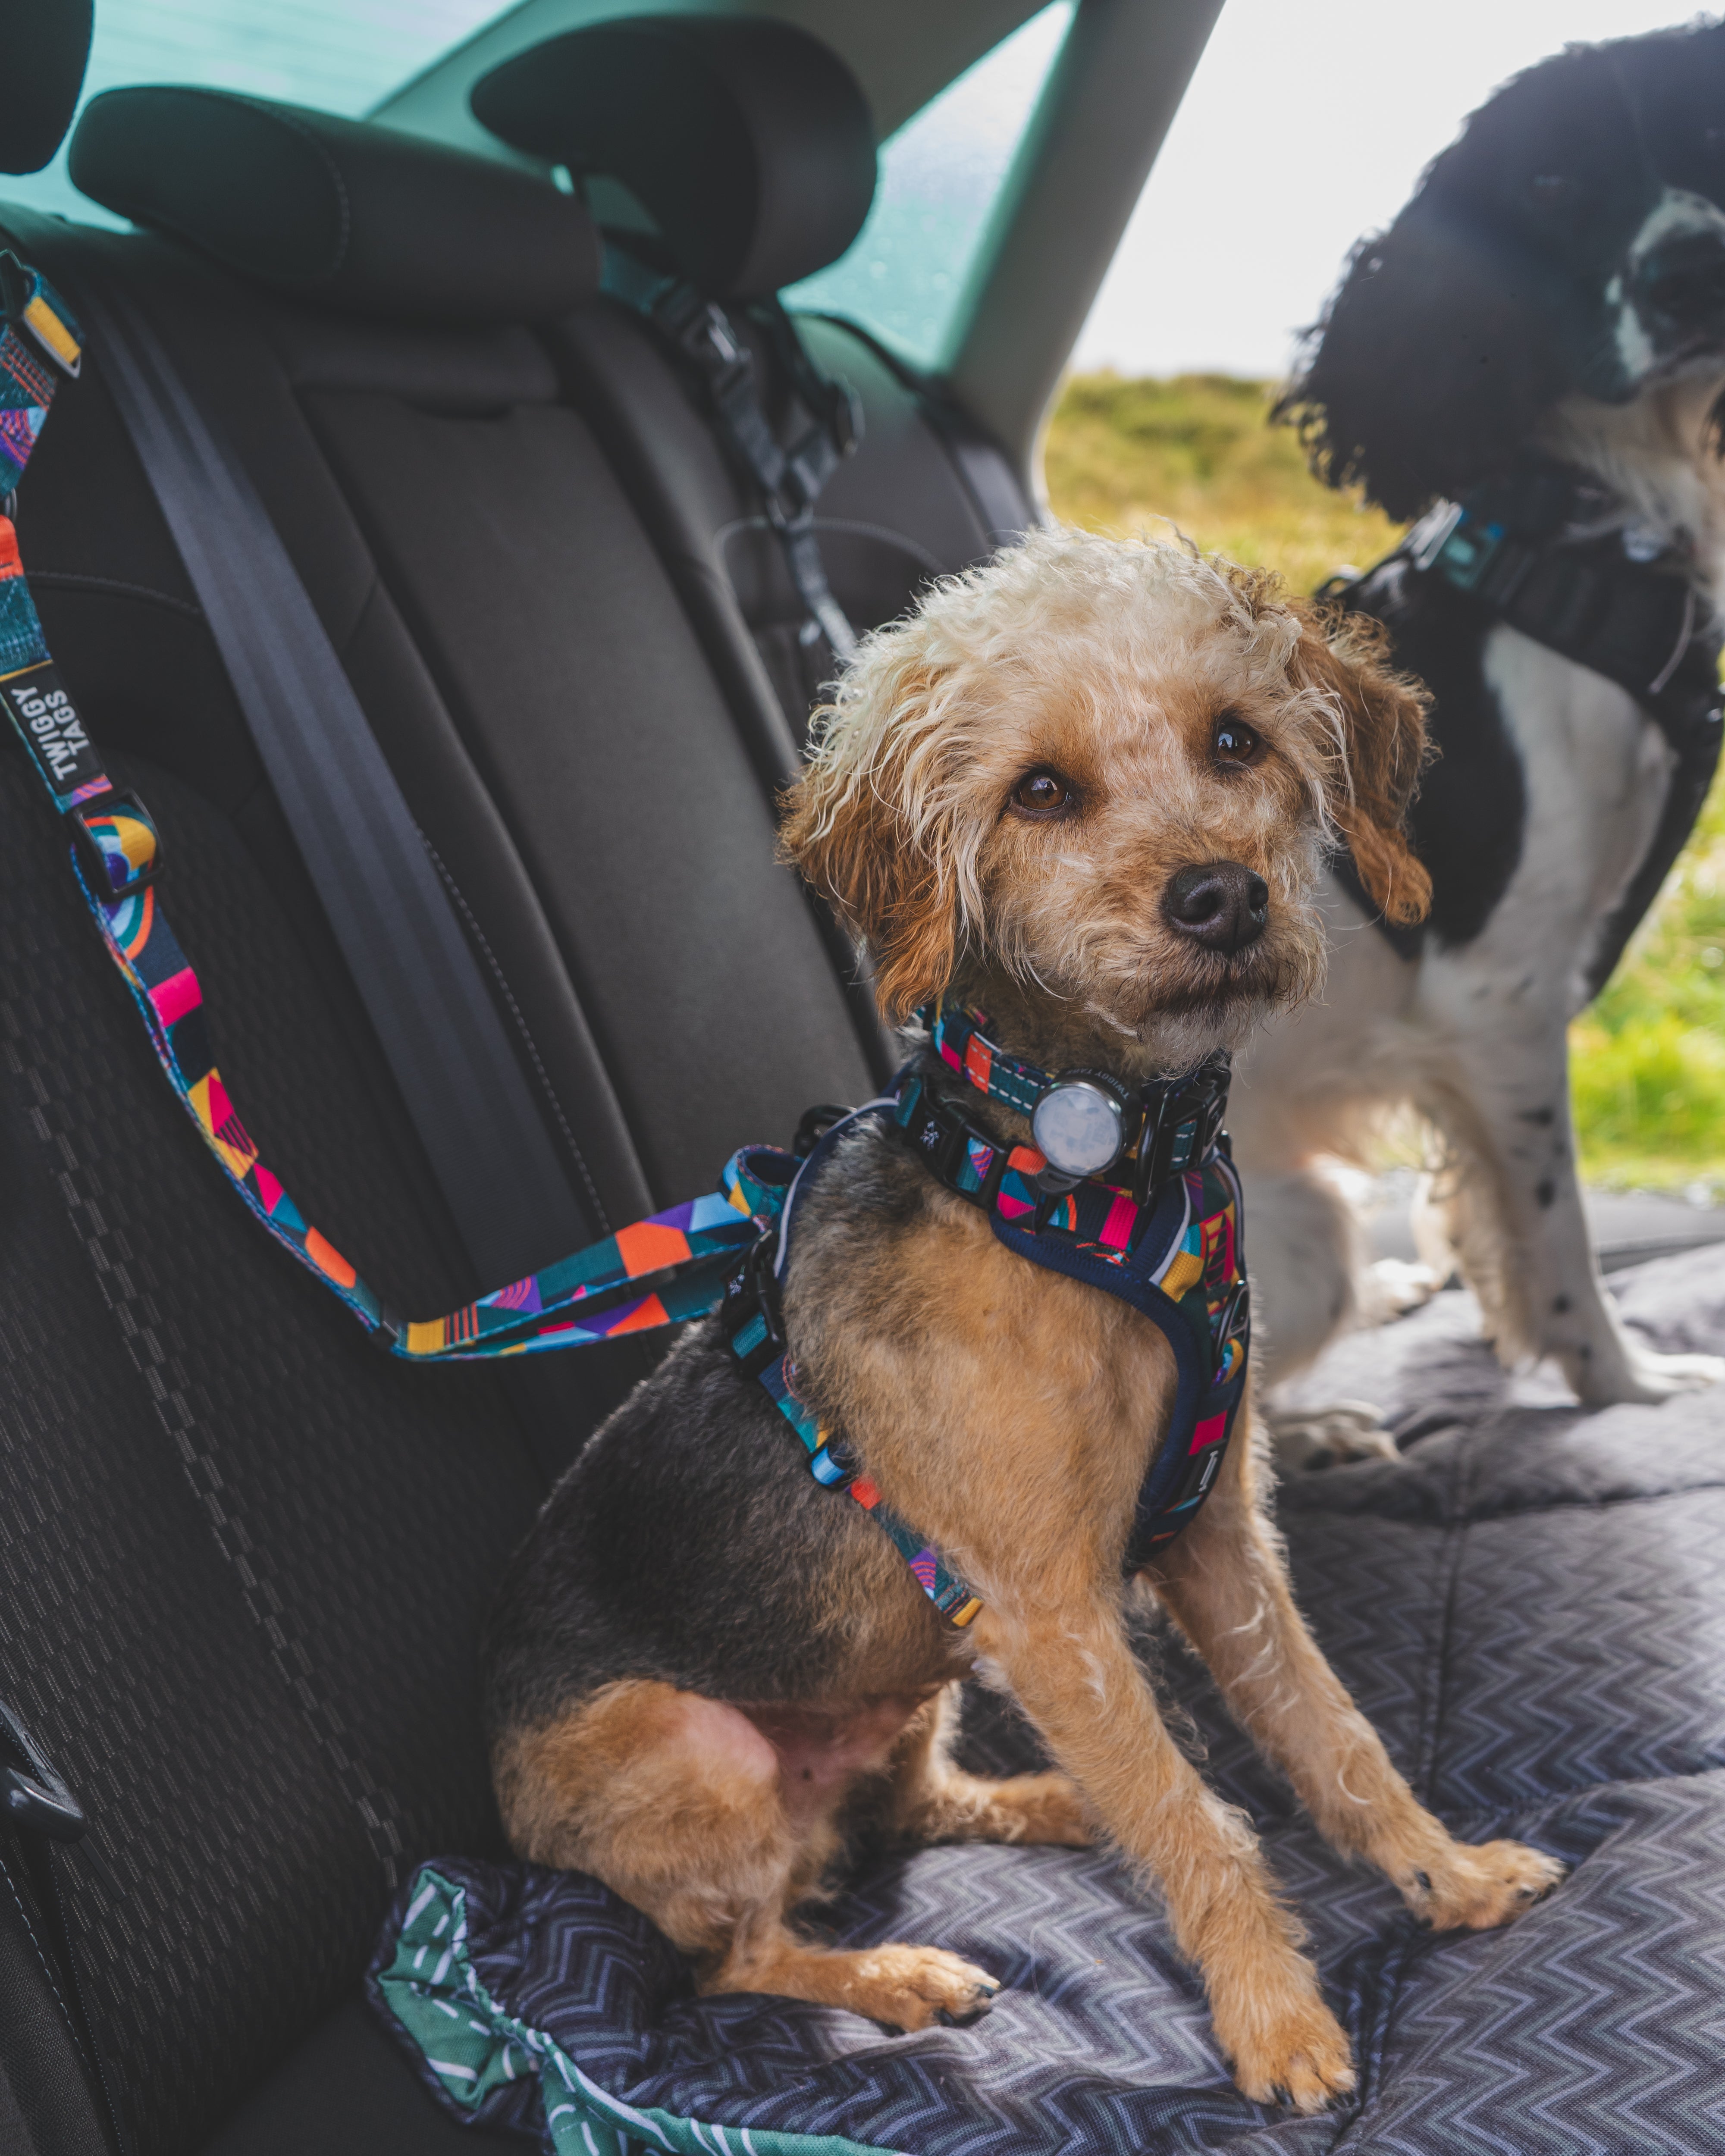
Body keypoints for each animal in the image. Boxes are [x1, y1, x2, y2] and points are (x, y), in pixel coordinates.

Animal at [481, 530, 1561, 2113]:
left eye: (1236, 741)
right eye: (1038, 792)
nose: (1221, 898)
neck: (1084, 1180)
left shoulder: (1216, 1543)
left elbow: (1327, 1732)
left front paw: (1446, 1875)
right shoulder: (1052, 1618)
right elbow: (1199, 1821)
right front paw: (1278, 2025)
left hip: (908, 1691)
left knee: (912, 1809)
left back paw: (1049, 1800)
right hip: (701, 1747)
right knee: (735, 1954)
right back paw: (894, 1974)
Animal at [1233, 17, 1725, 1457]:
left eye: (1708, 131)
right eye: (1552, 184)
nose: (1691, 268)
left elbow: (1490, 1213)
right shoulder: (1499, 996)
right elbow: (1556, 1235)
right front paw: (1625, 1383)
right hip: (1292, 1232)